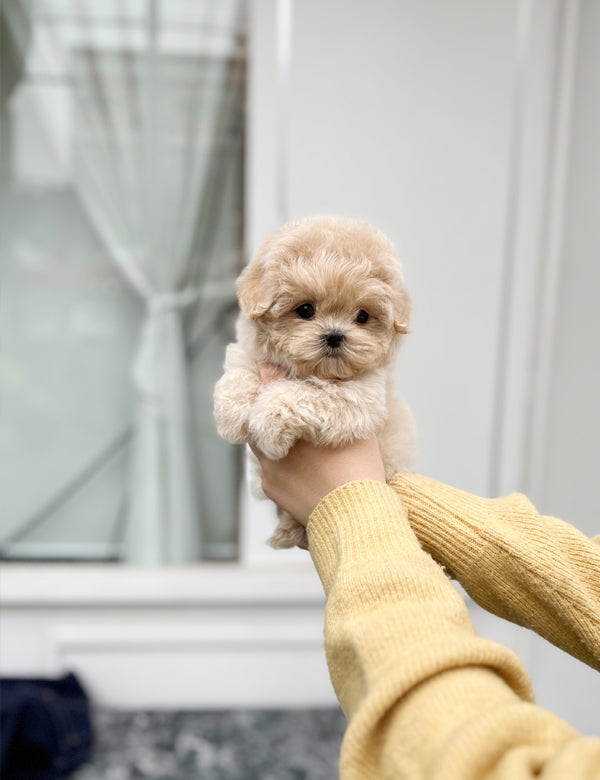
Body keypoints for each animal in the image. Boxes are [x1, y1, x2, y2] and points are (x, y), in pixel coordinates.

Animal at [213, 215, 414, 548]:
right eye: (305, 309)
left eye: (362, 316)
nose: (334, 335)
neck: (313, 370)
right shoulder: (250, 352)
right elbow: (239, 369)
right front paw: (232, 417)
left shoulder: (360, 398)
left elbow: (301, 395)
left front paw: (266, 425)